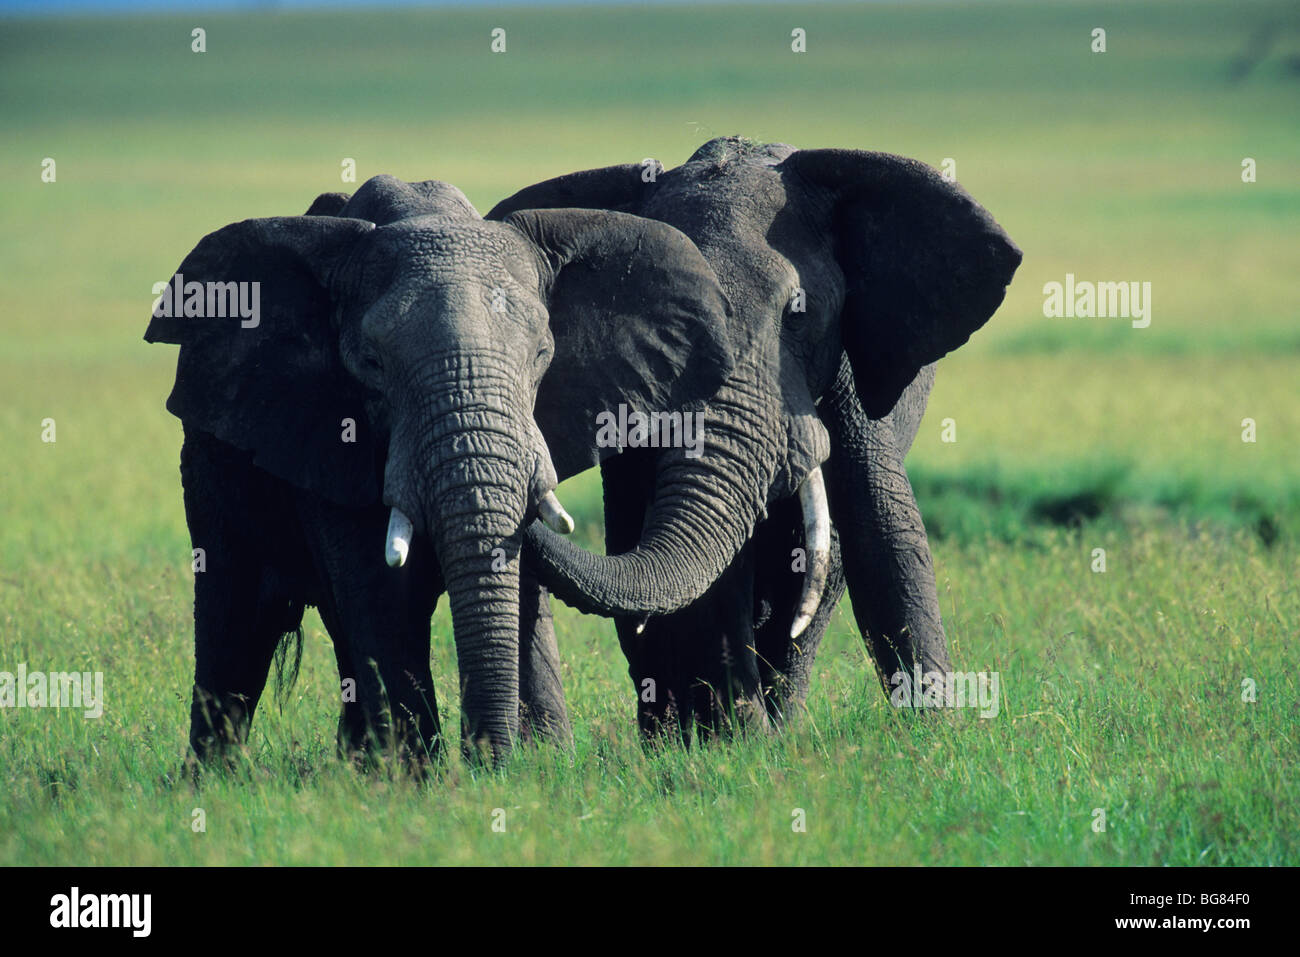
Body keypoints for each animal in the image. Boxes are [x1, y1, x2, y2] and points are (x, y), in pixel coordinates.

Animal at [146, 175, 738, 764]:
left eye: (543, 355)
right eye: (372, 364)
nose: (484, 758)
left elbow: (519, 579)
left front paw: (540, 764)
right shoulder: (327, 438)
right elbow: (380, 593)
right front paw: (418, 776)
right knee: (234, 624)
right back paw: (220, 778)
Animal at [488, 136, 1024, 738]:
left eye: (797, 314)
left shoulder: (851, 357)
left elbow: (883, 529)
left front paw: (936, 737)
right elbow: (704, 559)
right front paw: (735, 743)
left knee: (821, 571)